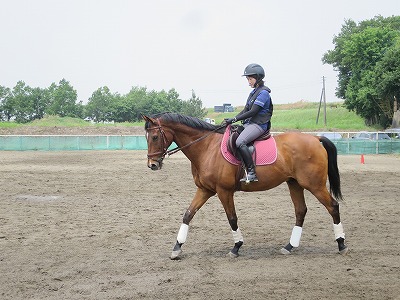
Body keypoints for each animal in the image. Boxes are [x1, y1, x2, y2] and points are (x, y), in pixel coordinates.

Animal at [143, 112, 346, 260]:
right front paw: (177, 248)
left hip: (314, 185)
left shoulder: (224, 191)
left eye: (155, 137)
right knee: (301, 211)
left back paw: (341, 243)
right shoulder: (205, 190)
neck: (207, 147)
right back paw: (289, 246)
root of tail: (316, 138)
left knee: (333, 206)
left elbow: (232, 218)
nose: (152, 165)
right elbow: (188, 215)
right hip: (294, 184)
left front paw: (236, 247)